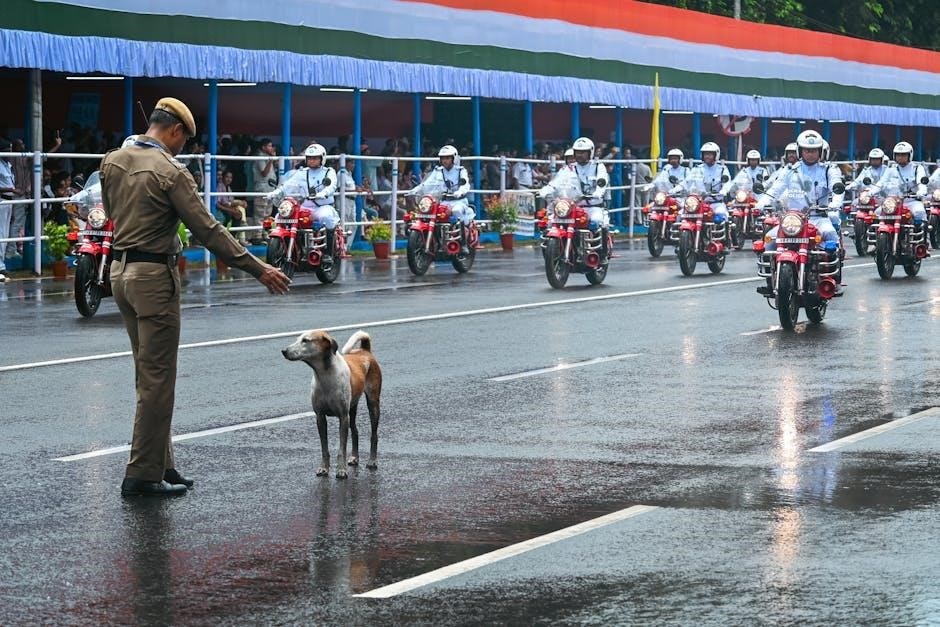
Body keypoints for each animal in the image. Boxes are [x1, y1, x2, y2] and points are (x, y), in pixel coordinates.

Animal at [282, 330, 382, 478]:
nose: (284, 351)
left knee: (374, 434)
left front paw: (341, 470)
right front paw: (324, 468)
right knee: (355, 430)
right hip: (352, 407)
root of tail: (365, 351)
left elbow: (342, 448)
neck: (325, 376)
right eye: (298, 339)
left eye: (305, 340)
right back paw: (354, 457)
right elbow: (324, 448)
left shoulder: (343, 416)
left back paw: (372, 461)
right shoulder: (320, 417)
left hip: (373, 403)